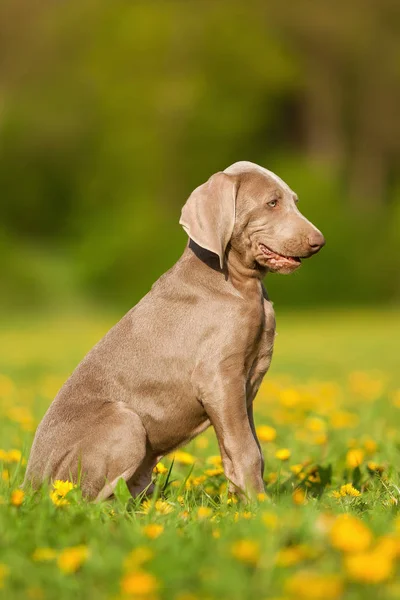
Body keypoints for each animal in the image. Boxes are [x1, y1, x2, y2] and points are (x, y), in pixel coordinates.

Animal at [24, 161, 324, 502]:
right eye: (272, 203)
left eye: (294, 201)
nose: (319, 241)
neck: (238, 283)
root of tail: (29, 486)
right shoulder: (218, 378)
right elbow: (246, 449)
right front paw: (261, 505)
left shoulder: (245, 383)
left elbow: (244, 448)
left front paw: (243, 501)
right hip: (124, 421)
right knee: (94, 500)